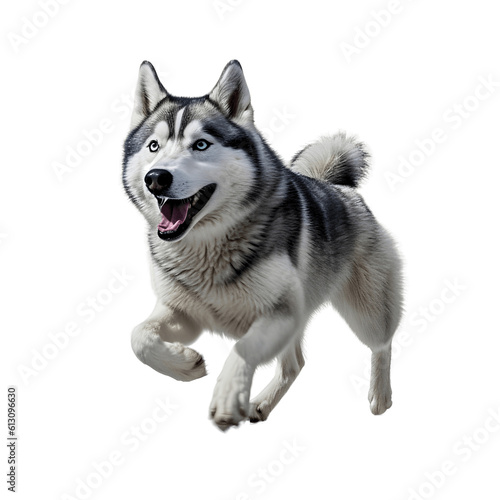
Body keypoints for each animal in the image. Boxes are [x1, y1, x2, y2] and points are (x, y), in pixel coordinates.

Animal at [123, 60, 404, 432]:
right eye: (153, 146)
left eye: (201, 145)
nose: (156, 178)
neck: (207, 247)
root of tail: (338, 188)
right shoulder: (183, 313)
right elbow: (139, 337)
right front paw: (186, 366)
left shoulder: (279, 314)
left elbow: (243, 347)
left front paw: (227, 397)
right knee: (295, 364)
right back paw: (262, 403)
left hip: (366, 309)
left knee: (382, 343)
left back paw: (380, 397)